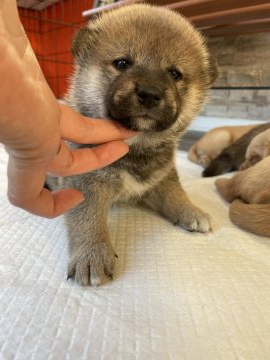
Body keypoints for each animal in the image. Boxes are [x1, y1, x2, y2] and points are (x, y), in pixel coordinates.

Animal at [48, 2, 217, 284]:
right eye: (122, 63)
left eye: (175, 73)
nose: (150, 93)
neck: (135, 147)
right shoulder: (86, 183)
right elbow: (87, 219)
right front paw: (91, 255)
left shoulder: (161, 178)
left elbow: (175, 195)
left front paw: (191, 211)